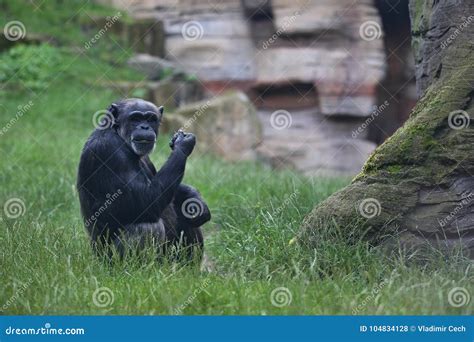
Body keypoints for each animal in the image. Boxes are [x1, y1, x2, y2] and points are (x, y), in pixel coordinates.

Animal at [77, 98, 210, 260]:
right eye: (135, 118)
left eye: (151, 119)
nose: (145, 127)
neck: (118, 135)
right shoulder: (109, 150)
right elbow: (146, 200)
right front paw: (182, 143)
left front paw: (196, 198)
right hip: (109, 258)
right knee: (147, 227)